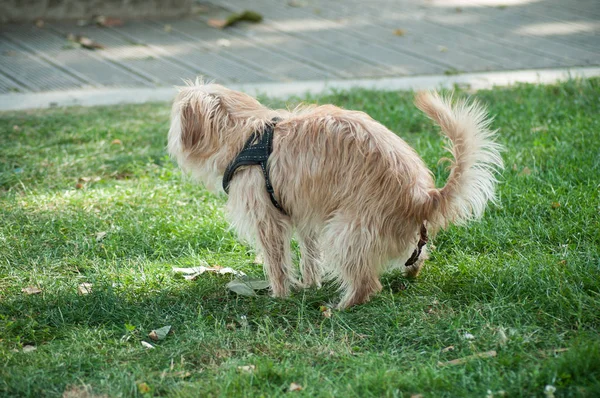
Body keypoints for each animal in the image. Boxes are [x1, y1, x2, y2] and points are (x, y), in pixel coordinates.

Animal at [166, 81, 504, 310]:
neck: (248, 136)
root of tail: (423, 197)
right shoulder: (305, 212)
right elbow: (309, 254)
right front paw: (309, 284)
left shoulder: (266, 217)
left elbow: (276, 261)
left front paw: (280, 295)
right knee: (416, 258)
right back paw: (410, 271)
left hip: (346, 229)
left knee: (368, 283)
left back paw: (343, 305)